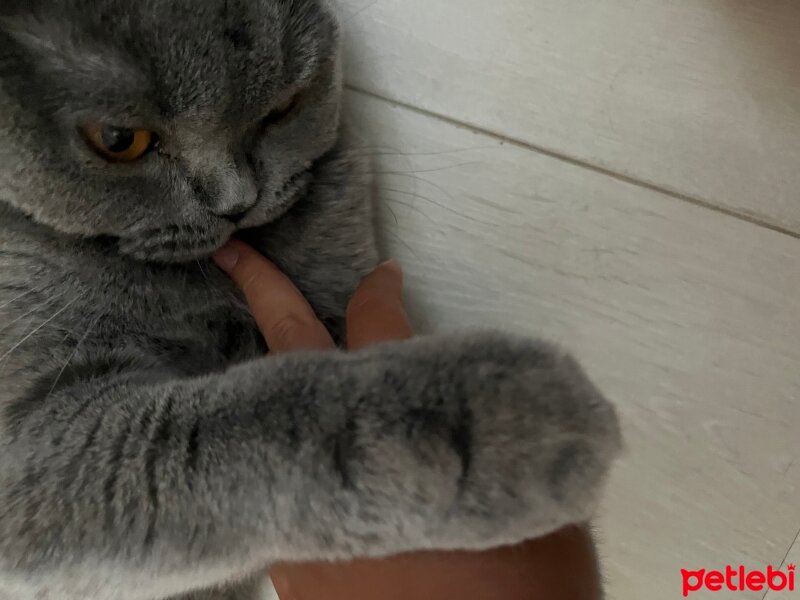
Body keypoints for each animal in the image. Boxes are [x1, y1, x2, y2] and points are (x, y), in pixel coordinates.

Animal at [0, 1, 620, 600]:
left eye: (282, 108)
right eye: (118, 141)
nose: (237, 202)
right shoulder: (29, 440)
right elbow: (230, 431)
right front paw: (503, 420)